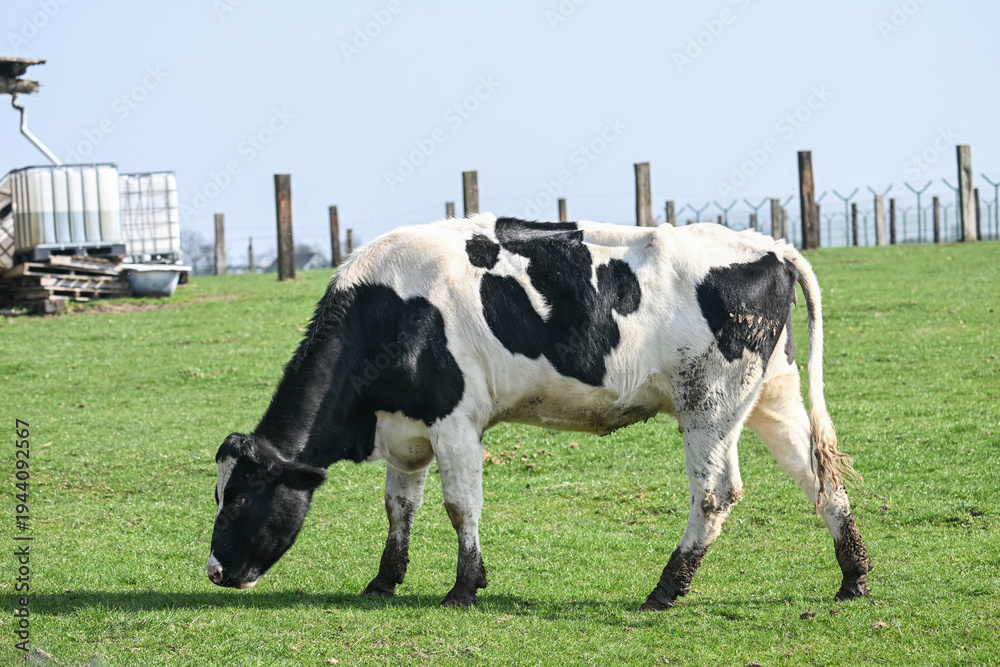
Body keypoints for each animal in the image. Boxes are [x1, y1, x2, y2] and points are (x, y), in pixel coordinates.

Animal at [206, 213, 872, 609]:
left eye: (239, 498)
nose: (215, 570)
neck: (389, 307)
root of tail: (770, 245)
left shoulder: (456, 422)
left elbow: (459, 506)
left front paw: (464, 588)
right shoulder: (407, 429)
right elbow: (400, 507)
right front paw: (383, 582)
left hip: (708, 405)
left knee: (715, 494)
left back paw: (665, 589)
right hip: (772, 397)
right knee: (819, 476)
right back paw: (854, 577)